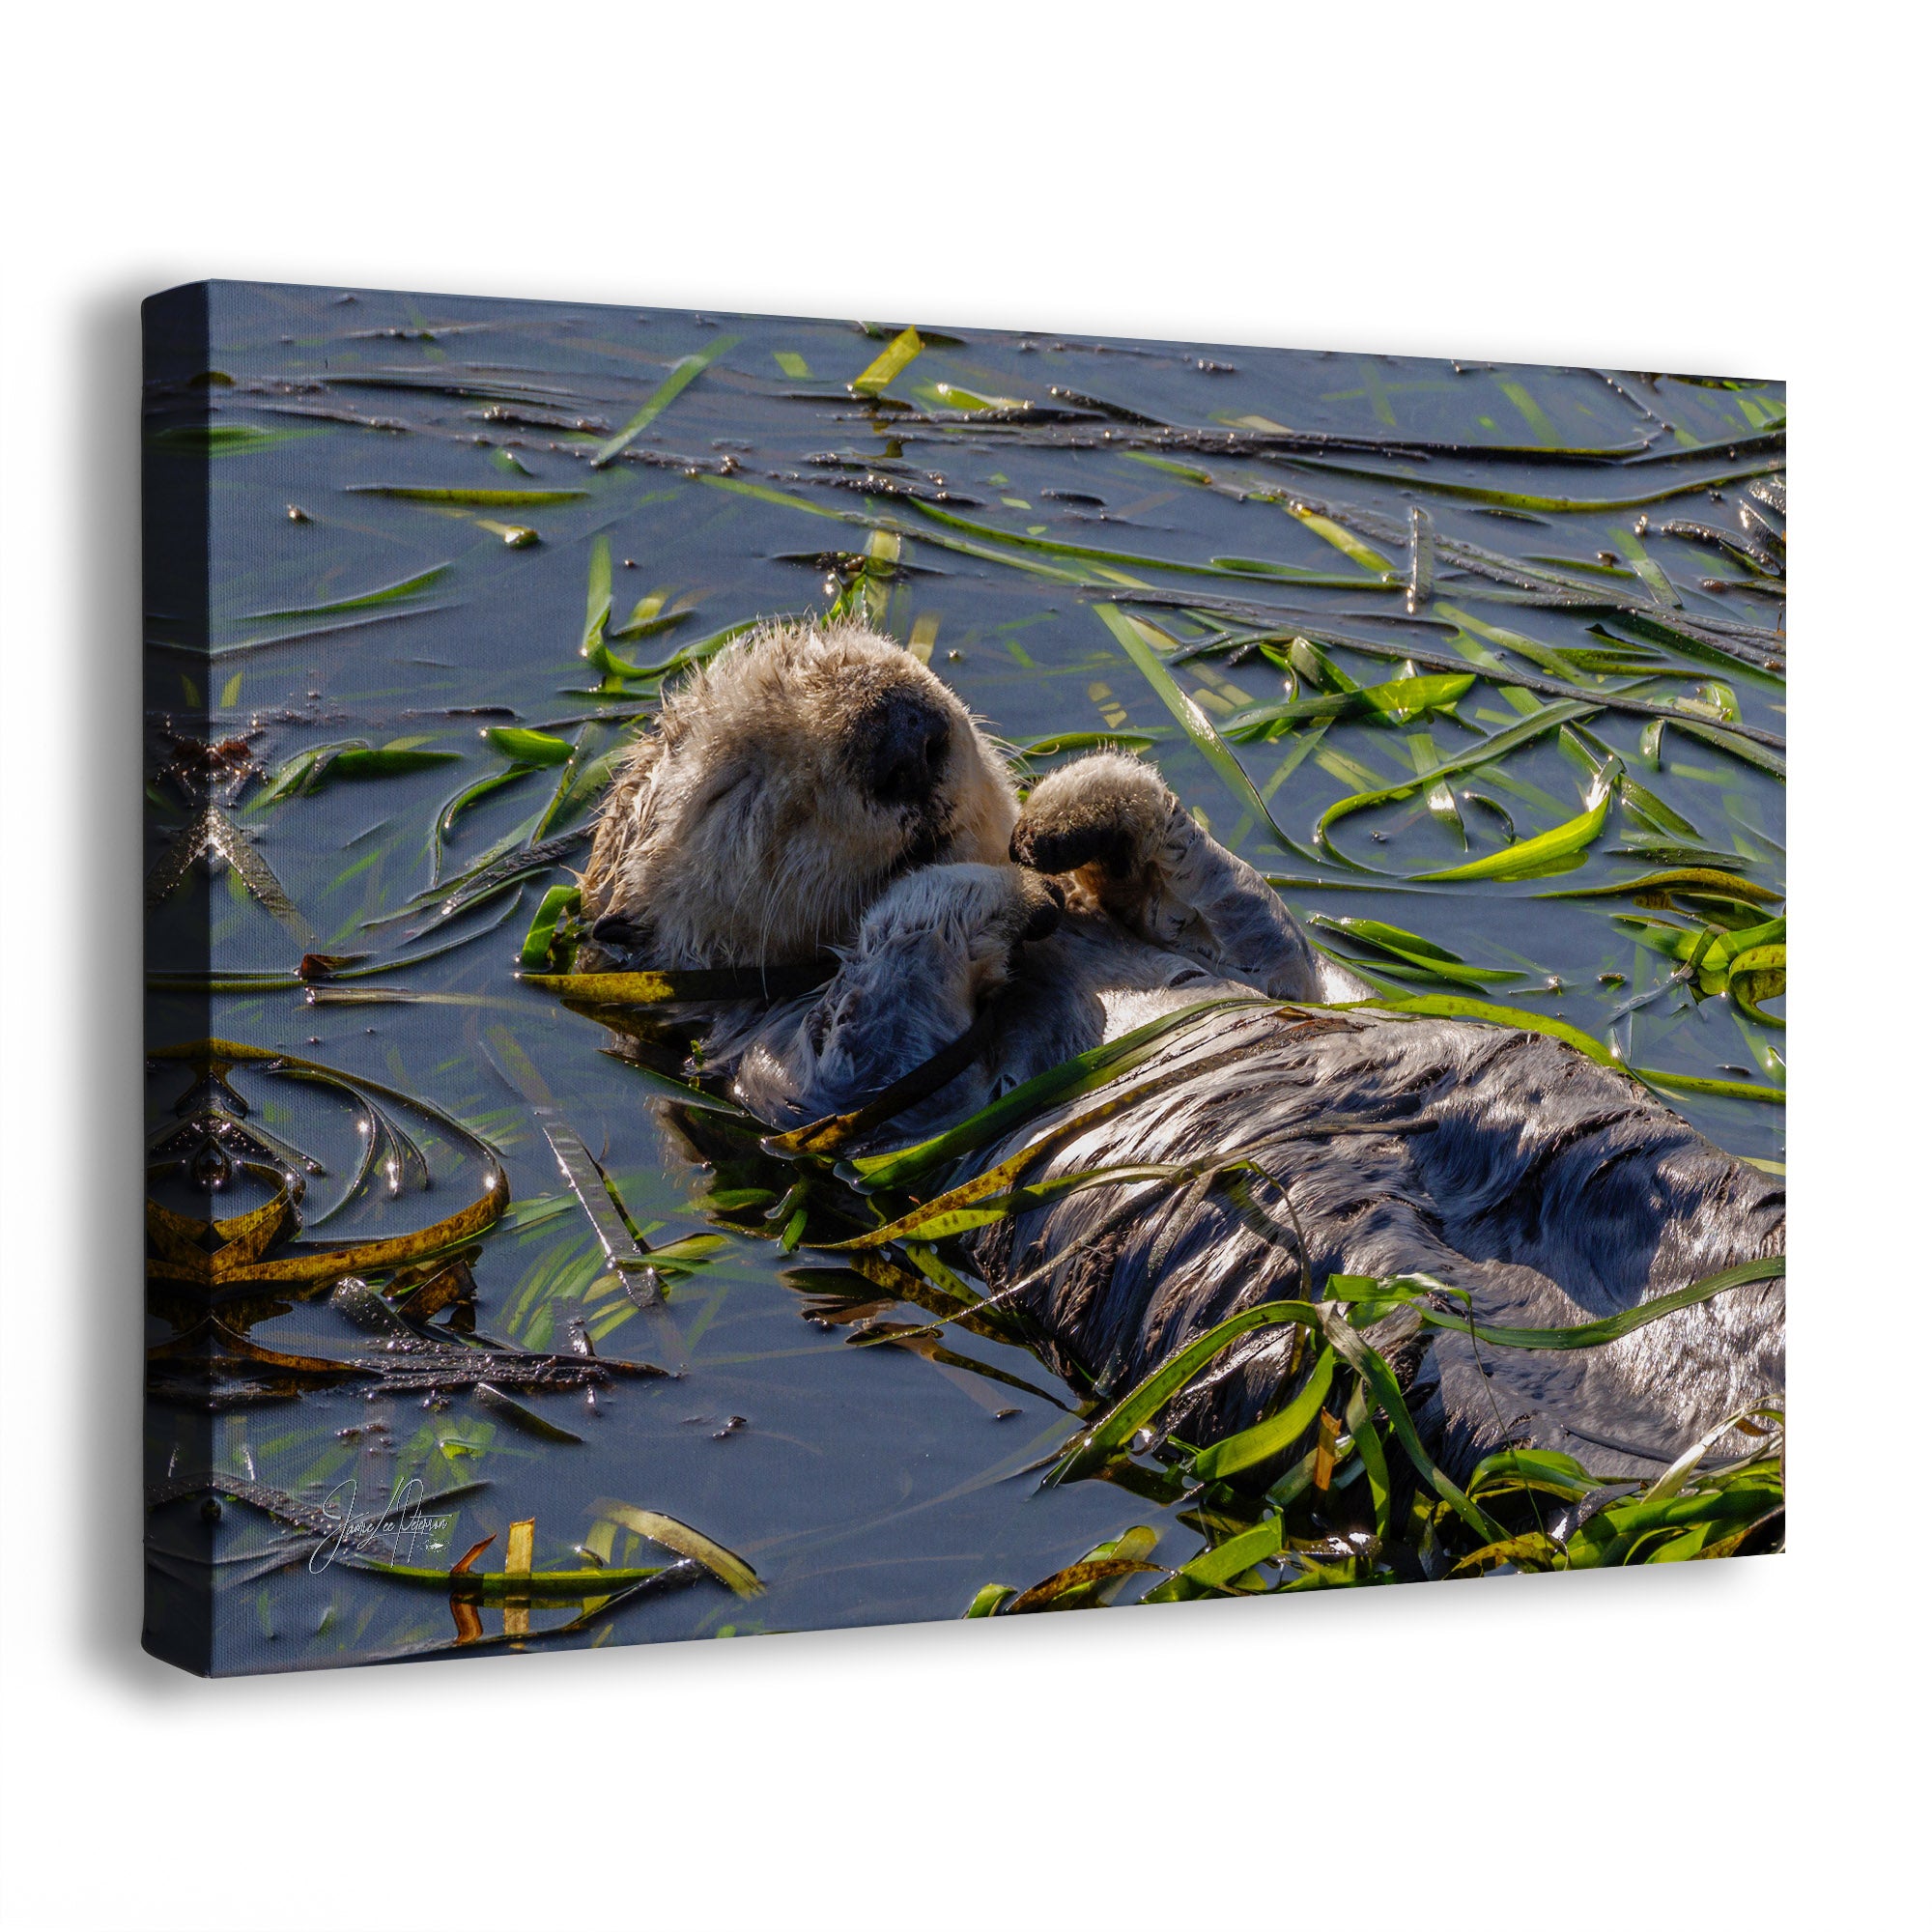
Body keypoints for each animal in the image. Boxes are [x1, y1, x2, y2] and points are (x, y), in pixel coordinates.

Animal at [577, 619, 1785, 1481]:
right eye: (737, 782)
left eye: (903, 665)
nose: (902, 731)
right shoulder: (792, 1076)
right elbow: (871, 1021)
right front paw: (990, 885)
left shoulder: (1261, 963)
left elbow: (1243, 916)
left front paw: (1059, 817)